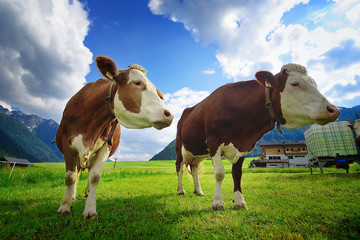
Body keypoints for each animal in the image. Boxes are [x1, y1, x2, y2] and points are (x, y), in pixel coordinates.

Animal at [57, 55, 174, 218]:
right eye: (137, 82)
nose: (169, 114)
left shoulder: (106, 146)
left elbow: (95, 177)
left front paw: (90, 209)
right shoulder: (67, 144)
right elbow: (70, 177)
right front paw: (65, 206)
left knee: (88, 172)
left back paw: (87, 192)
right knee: (78, 172)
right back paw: (73, 196)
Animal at [176, 63, 340, 210]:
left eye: (315, 83)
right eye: (294, 83)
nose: (334, 109)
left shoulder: (243, 145)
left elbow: (237, 173)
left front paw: (239, 201)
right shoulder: (213, 142)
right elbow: (219, 173)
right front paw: (217, 203)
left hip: (197, 153)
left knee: (194, 169)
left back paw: (199, 191)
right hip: (179, 147)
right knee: (179, 168)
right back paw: (181, 190)